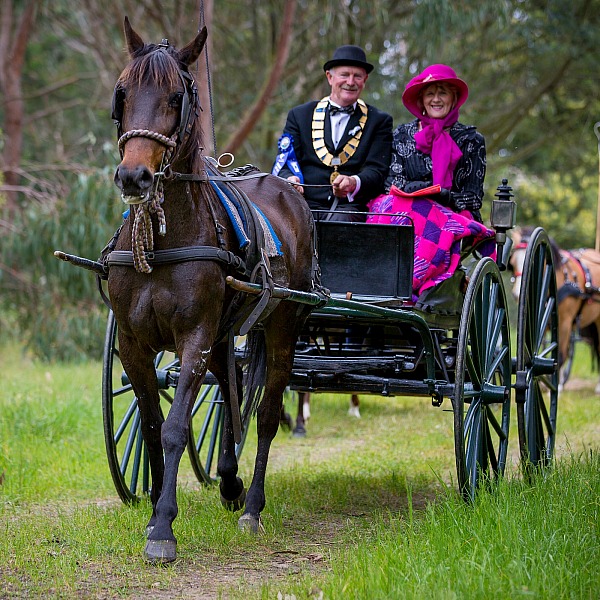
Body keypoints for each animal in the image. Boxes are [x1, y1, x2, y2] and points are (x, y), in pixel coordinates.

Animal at [108, 18, 316, 564]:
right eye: (122, 93)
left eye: (175, 96)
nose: (133, 176)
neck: (165, 239)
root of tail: (287, 190)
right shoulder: (133, 344)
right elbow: (152, 425)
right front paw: (155, 506)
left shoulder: (195, 337)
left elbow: (178, 425)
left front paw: (163, 526)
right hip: (226, 335)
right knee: (230, 388)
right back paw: (228, 482)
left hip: (282, 329)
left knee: (265, 413)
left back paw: (252, 505)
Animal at [508, 227, 600, 392]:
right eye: (513, 262)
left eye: (537, 262)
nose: (517, 294)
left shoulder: (564, 322)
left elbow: (560, 355)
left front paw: (557, 386)